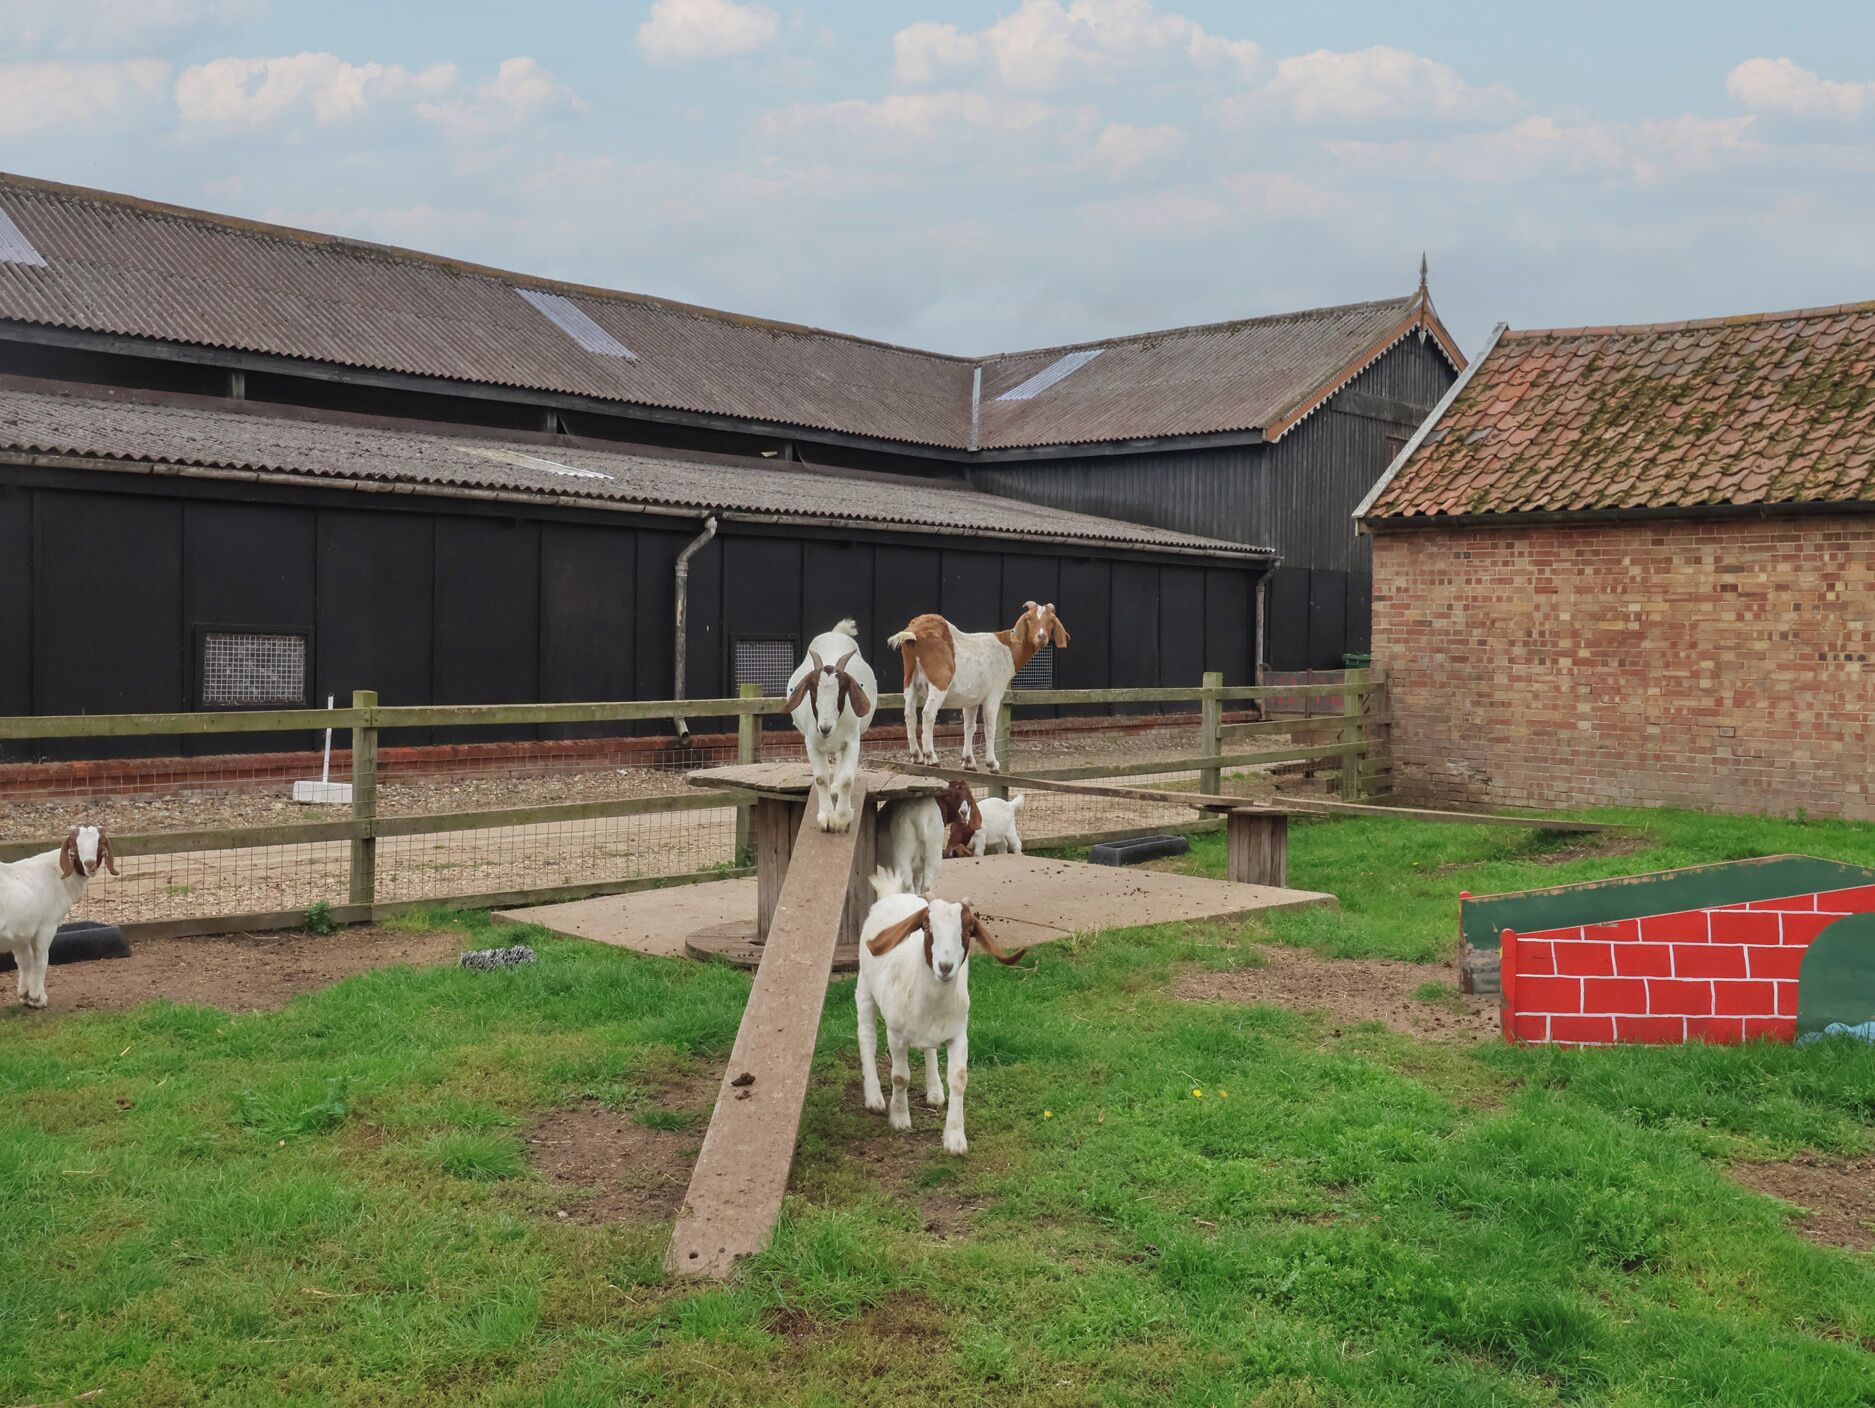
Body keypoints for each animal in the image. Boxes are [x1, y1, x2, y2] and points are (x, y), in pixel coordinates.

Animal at [1, 825, 117, 1010]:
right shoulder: (46, 926)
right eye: (75, 847)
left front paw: (25, 995)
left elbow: (24, 961)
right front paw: (37, 999)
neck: (56, 874)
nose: (89, 864)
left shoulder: (22, 933)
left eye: (100, 843)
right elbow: (41, 960)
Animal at [784, 619, 877, 832]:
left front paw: (841, 818)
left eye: (842, 692)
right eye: (812, 692)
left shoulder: (852, 741)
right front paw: (826, 817)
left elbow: (847, 780)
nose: (825, 728)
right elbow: (820, 778)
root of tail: (836, 633)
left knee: (840, 759)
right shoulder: (811, 743)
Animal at [856, 868, 1019, 1155]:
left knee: (929, 1050)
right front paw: (899, 1118)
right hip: (864, 988)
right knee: (867, 1037)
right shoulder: (895, 1035)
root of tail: (892, 894)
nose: (944, 967)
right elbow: (900, 1077)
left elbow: (959, 1078)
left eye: (969, 930)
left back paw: (934, 1092)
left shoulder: (959, 1034)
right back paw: (874, 1097)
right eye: (927, 927)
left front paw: (955, 1139)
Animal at [889, 601, 1069, 771]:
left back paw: (916, 756)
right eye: (1029, 619)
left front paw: (969, 761)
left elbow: (970, 726)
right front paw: (992, 763)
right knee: (928, 713)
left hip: (910, 681)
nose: (1041, 637)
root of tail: (914, 633)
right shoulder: (994, 693)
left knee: (910, 714)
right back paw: (931, 757)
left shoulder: (972, 698)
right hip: (939, 680)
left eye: (1051, 621)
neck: (1008, 648)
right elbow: (990, 725)